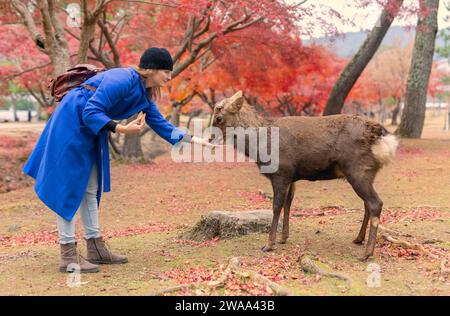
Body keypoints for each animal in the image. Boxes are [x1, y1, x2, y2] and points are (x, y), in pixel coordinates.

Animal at [209, 90, 400, 260]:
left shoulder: (281, 172)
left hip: (357, 170)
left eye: (218, 117)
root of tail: (382, 137)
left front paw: (269, 244)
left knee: (375, 203)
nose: (210, 139)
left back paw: (367, 253)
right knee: (368, 204)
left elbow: (276, 206)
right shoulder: (292, 176)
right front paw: (283, 238)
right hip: (366, 173)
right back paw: (358, 239)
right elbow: (288, 204)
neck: (260, 148)